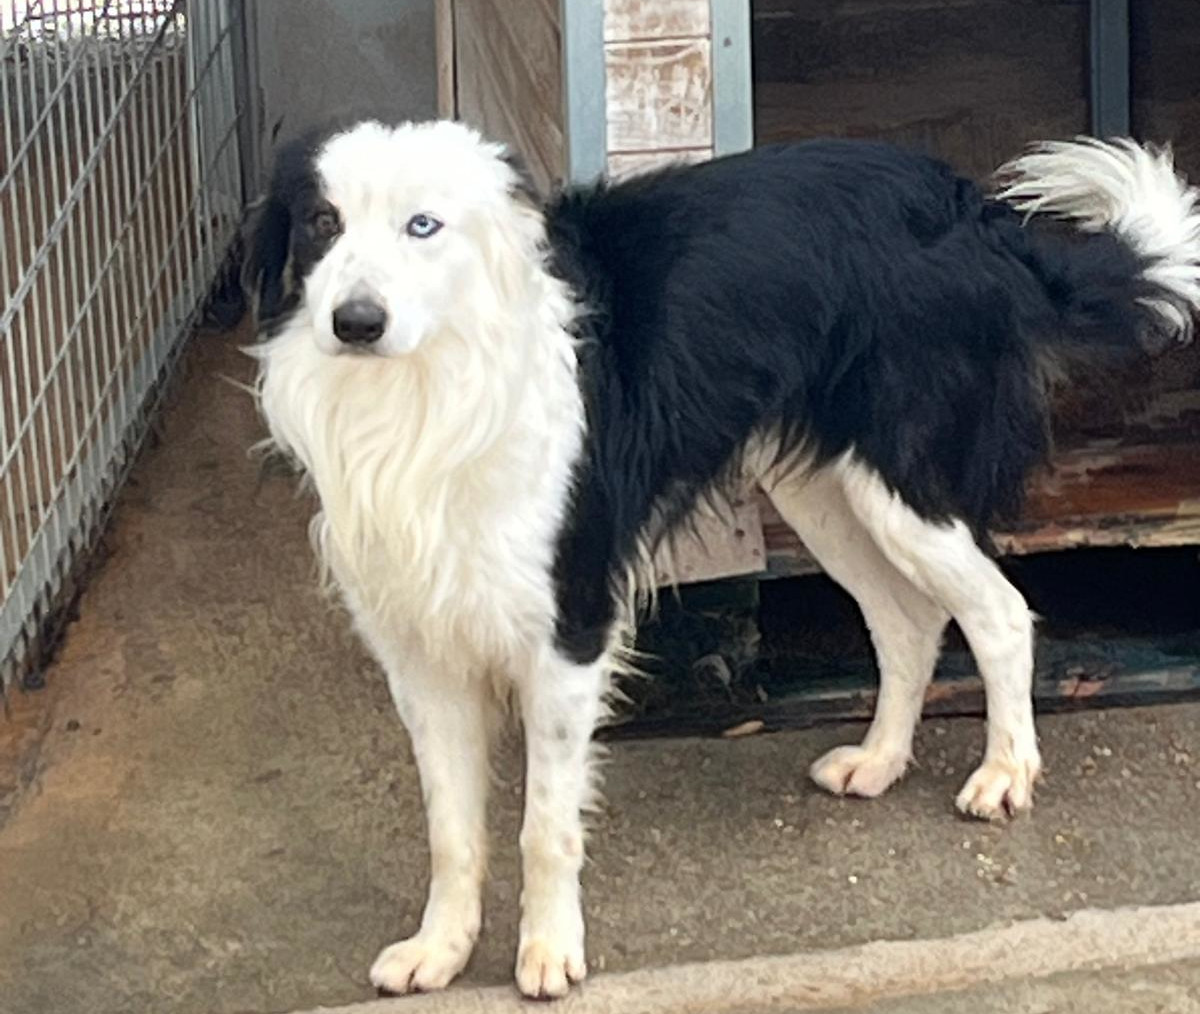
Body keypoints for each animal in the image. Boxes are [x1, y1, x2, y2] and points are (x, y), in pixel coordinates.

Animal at [246, 120, 1200, 998]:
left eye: (424, 226)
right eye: (322, 223)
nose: (355, 322)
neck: (424, 387)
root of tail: (973, 207)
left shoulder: (569, 624)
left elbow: (544, 824)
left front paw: (549, 951)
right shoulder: (418, 647)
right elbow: (450, 829)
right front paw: (440, 949)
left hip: (903, 482)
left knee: (998, 613)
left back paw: (1004, 773)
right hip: (825, 492)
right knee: (908, 621)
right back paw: (880, 760)